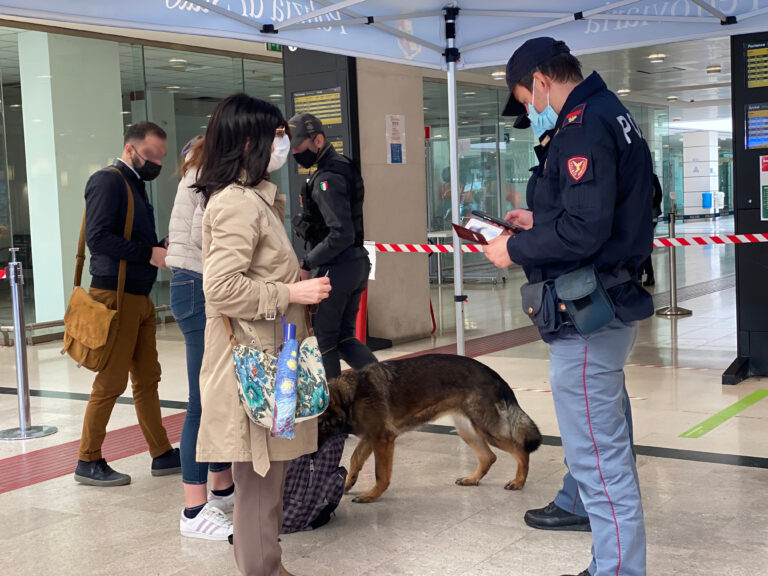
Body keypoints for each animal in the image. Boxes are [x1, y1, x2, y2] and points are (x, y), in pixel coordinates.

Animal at [320, 354, 544, 502]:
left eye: (319, 423)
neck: (348, 398)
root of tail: (494, 374)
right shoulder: (370, 437)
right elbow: (355, 459)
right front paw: (348, 482)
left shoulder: (382, 439)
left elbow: (380, 474)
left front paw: (372, 495)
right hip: (467, 430)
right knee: (489, 457)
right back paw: (472, 479)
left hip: (487, 430)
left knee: (521, 451)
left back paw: (518, 481)